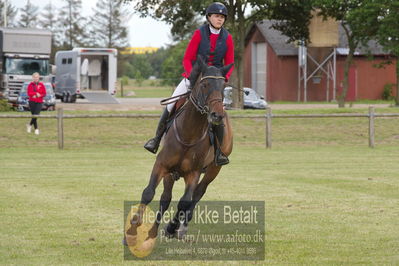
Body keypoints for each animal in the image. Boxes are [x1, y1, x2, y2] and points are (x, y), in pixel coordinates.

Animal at [125, 58, 234, 249]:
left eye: (223, 85)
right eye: (204, 84)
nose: (217, 116)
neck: (189, 133)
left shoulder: (193, 173)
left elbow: (184, 201)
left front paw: (172, 227)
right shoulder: (162, 165)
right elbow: (149, 193)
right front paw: (131, 232)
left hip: (213, 170)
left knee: (196, 195)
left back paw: (178, 228)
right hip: (171, 173)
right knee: (166, 197)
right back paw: (156, 231)